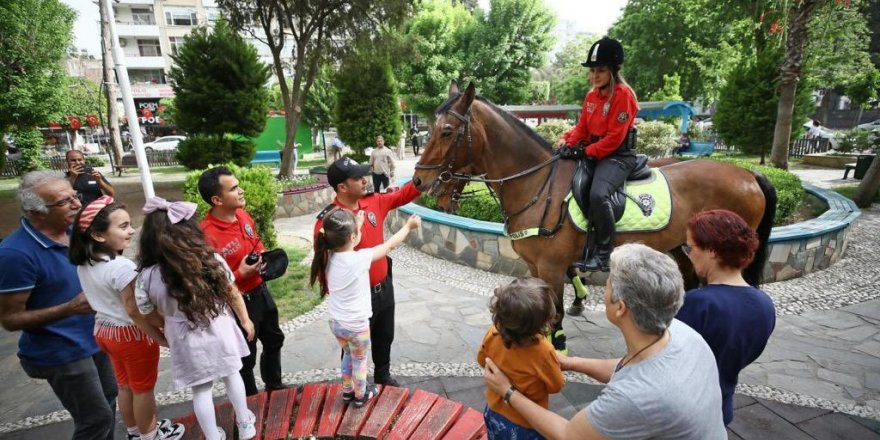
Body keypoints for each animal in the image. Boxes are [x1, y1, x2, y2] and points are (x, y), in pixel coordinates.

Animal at [412, 81, 776, 350]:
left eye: (447, 131)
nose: (419, 181)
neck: (539, 183)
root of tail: (748, 175)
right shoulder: (535, 267)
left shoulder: (552, 267)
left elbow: (556, 314)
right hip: (679, 246)